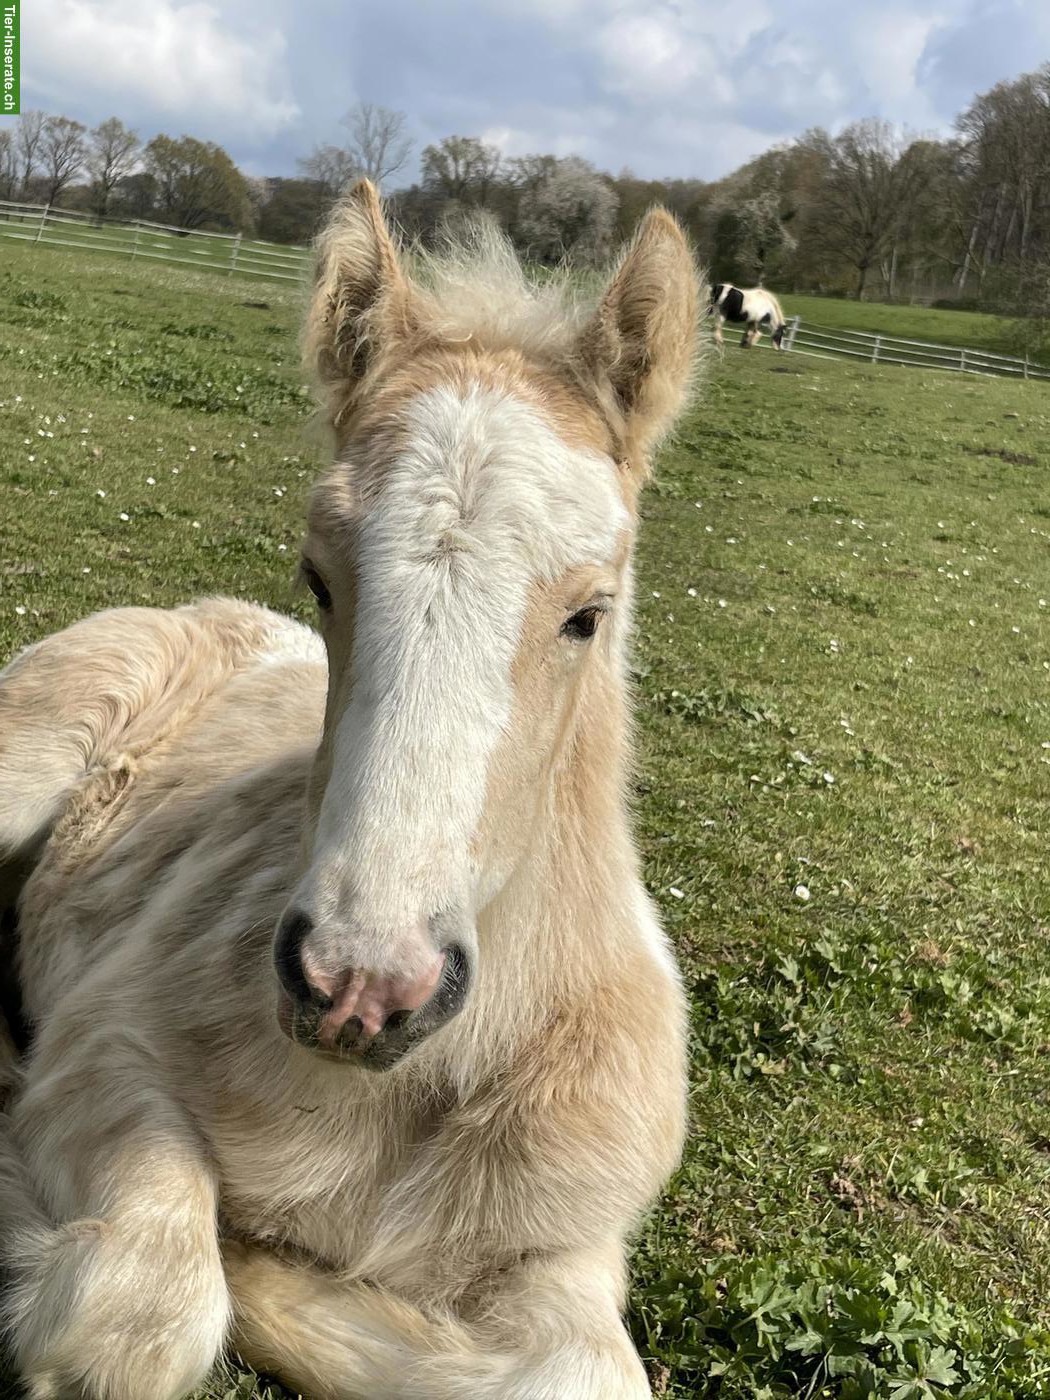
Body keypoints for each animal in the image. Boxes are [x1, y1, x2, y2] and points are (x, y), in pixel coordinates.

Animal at [0, 182, 699, 1400]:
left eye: (588, 612)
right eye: (319, 575)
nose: (361, 987)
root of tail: (200, 614)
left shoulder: (575, 1226)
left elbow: (575, 1372)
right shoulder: (106, 1037)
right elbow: (148, 1308)